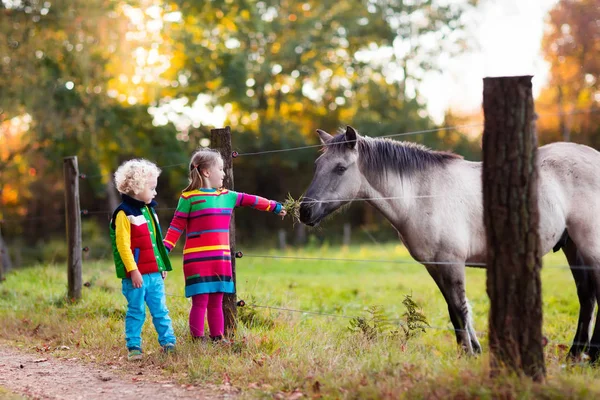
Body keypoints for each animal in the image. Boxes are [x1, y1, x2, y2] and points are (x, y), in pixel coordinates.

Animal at [298, 126, 600, 362]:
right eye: (317, 166)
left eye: (340, 168)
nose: (304, 211)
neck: (422, 194)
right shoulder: (435, 265)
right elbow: (453, 311)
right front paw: (469, 353)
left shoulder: (451, 262)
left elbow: (460, 307)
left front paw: (470, 353)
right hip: (573, 247)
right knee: (586, 297)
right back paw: (575, 355)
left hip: (589, 246)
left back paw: (592, 356)